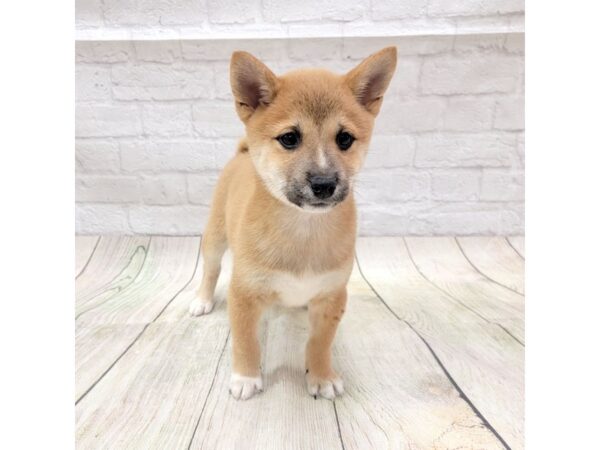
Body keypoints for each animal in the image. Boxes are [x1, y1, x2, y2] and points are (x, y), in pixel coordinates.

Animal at [190, 47, 396, 400]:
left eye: (345, 139)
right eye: (289, 138)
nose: (324, 184)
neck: (304, 229)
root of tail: (241, 154)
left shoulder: (331, 296)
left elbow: (319, 343)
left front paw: (322, 376)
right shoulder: (244, 293)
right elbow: (245, 341)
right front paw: (246, 377)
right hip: (215, 238)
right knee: (211, 269)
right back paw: (202, 300)